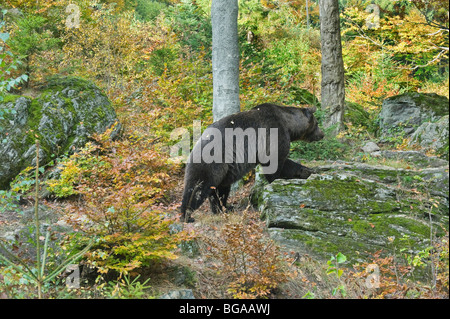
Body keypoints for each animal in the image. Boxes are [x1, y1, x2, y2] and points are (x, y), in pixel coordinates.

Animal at [179, 103, 324, 222]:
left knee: (221, 189)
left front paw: (306, 171)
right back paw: (187, 215)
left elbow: (286, 164)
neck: (288, 124)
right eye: (317, 124)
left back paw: (223, 208)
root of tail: (197, 142)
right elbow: (275, 163)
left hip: (226, 170)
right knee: (197, 187)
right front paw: (275, 181)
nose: (322, 134)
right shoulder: (274, 133)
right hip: (212, 160)